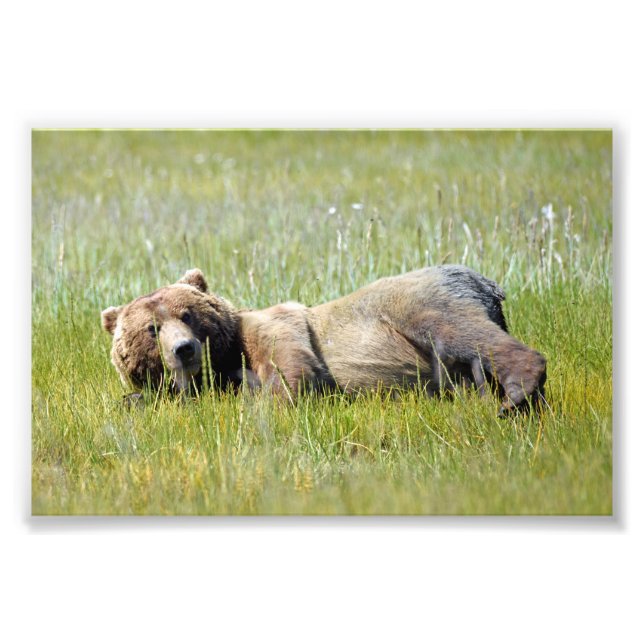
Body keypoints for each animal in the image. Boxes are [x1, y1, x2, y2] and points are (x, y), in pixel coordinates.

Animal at [101, 266, 547, 413]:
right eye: (151, 329)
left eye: (187, 314)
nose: (184, 349)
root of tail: (485, 282)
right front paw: (133, 400)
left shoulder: (271, 328)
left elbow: (292, 368)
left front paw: (263, 402)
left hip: (418, 301)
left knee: (462, 335)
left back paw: (517, 394)